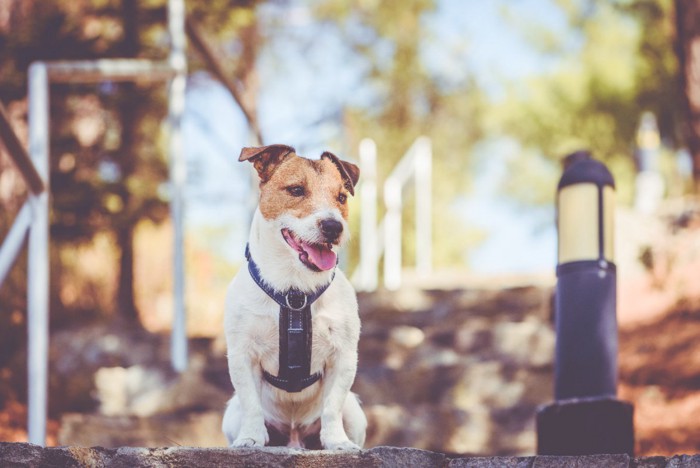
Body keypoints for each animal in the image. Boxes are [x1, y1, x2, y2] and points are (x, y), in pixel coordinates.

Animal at [223, 144, 366, 450]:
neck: (295, 289)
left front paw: (337, 442)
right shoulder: (242, 355)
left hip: (355, 412)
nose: (333, 227)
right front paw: (250, 438)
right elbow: (251, 404)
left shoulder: (344, 357)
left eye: (341, 197)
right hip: (231, 413)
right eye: (296, 190)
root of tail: (293, 438)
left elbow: (332, 406)